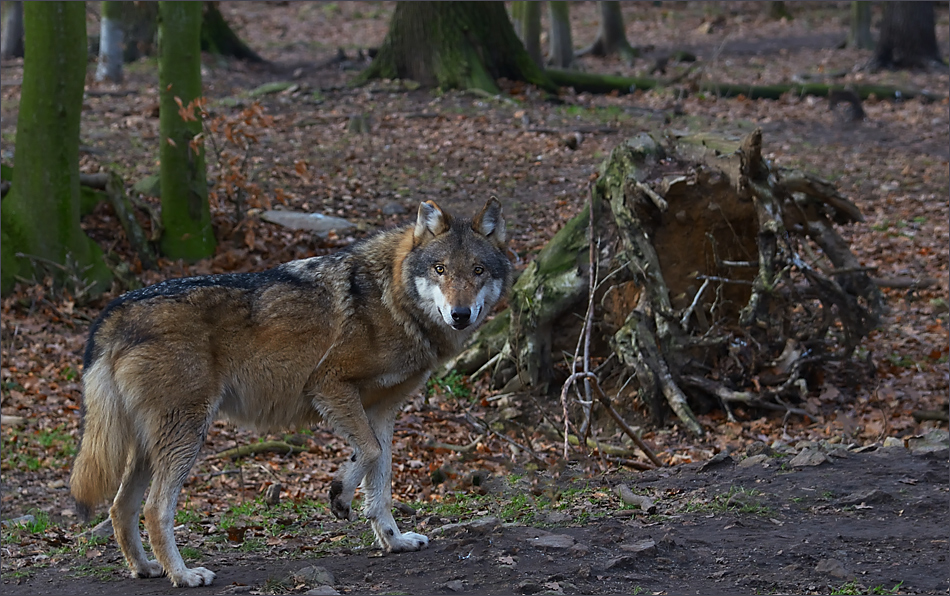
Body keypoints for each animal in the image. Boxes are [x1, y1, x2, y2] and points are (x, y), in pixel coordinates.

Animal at [69, 199, 512, 588]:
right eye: (440, 269)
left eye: (477, 270)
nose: (460, 314)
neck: (391, 297)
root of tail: (112, 313)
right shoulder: (328, 384)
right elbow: (368, 453)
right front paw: (339, 494)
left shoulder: (382, 411)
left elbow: (380, 479)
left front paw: (393, 539)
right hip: (186, 435)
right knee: (154, 509)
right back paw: (184, 575)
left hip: (150, 445)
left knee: (120, 507)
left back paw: (146, 569)